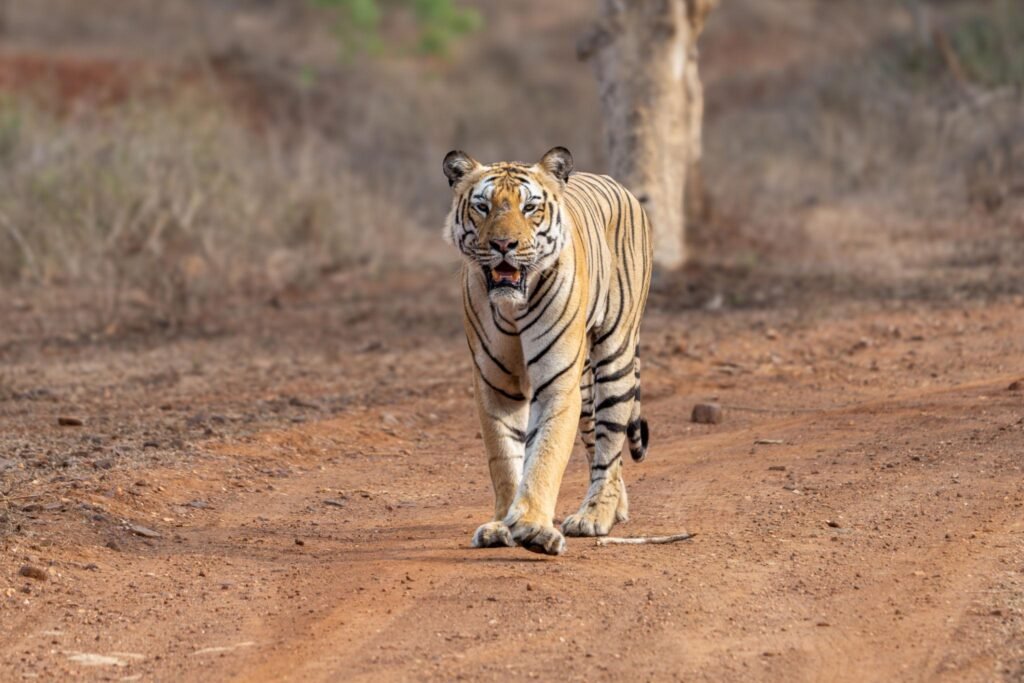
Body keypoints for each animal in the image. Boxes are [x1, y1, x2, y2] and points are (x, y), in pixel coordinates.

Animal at [442, 146, 653, 556]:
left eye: (529, 208)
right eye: (482, 206)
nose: (503, 245)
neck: (512, 306)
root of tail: (619, 186)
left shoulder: (557, 383)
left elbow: (545, 456)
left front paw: (532, 527)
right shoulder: (496, 385)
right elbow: (505, 457)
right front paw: (501, 525)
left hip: (615, 355)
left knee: (610, 446)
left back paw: (594, 515)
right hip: (584, 386)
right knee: (599, 443)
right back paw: (615, 507)